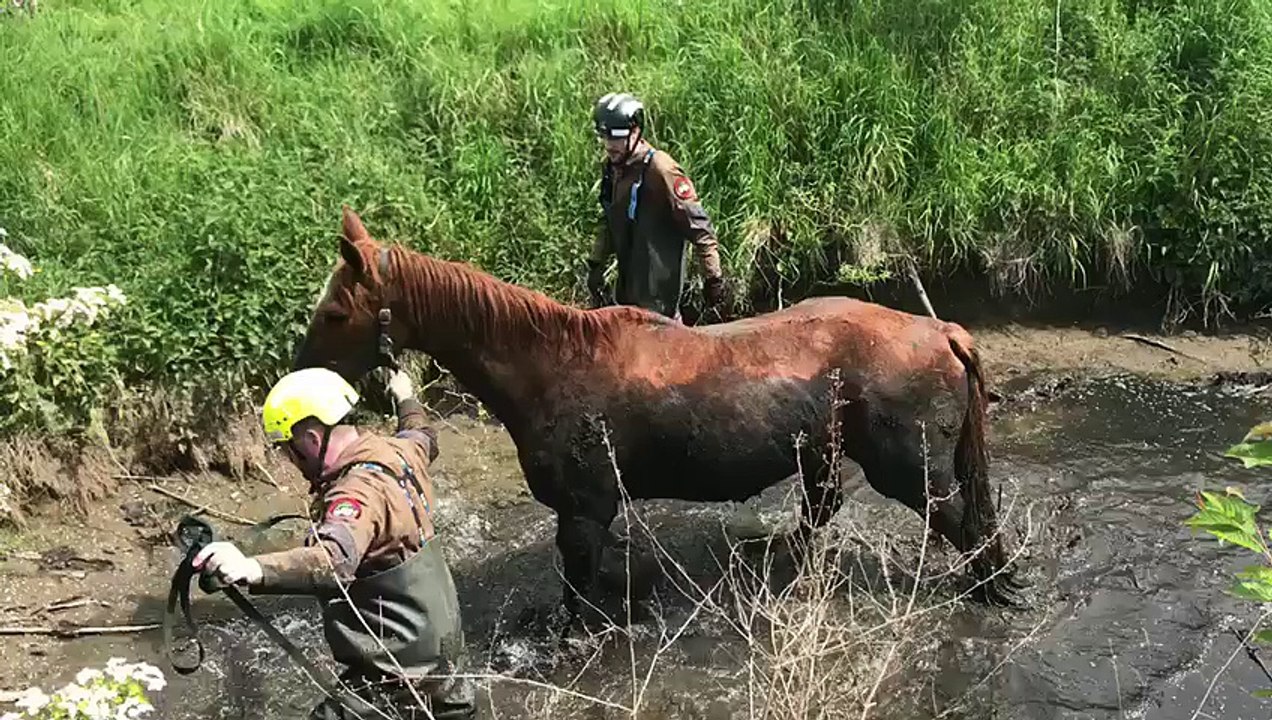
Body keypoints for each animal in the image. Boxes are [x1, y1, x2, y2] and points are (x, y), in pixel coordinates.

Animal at [292, 207, 1027, 619]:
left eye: (336, 313)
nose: (299, 369)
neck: (547, 364)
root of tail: (942, 332)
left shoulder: (583, 511)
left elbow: (578, 594)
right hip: (824, 452)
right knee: (824, 509)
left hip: (910, 469)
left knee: (963, 527)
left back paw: (995, 591)